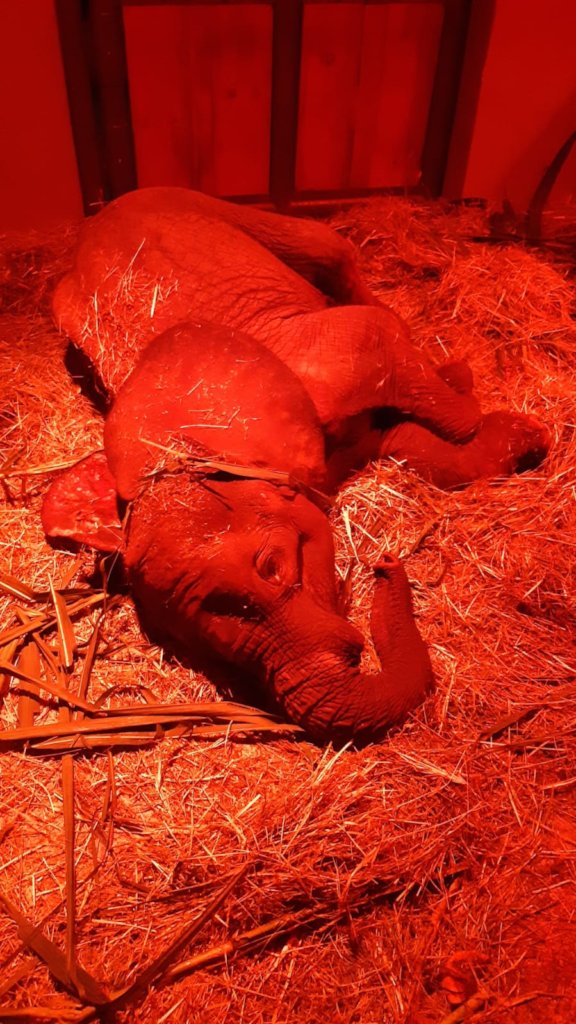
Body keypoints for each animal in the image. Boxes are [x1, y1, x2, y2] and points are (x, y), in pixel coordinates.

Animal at [42, 188, 549, 743]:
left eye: (273, 567)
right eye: (202, 653)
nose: (385, 564)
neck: (185, 451)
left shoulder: (333, 361)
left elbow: (410, 375)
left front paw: (486, 398)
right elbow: (406, 444)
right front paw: (520, 438)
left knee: (330, 250)